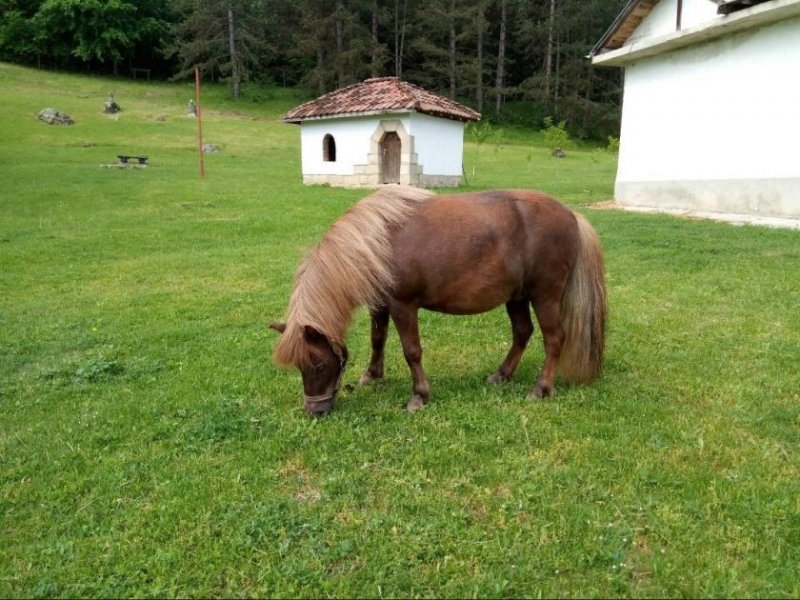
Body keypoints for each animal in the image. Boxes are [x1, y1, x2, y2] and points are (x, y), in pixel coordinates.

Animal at [270, 185, 608, 414]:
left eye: (316, 364)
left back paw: (541, 389)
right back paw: (501, 375)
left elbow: (412, 351)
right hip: (517, 297)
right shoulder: (380, 303)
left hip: (544, 296)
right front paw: (372, 376)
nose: (315, 411)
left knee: (554, 339)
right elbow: (377, 339)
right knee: (522, 333)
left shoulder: (403, 305)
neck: (376, 241)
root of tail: (572, 215)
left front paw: (419, 396)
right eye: (299, 365)